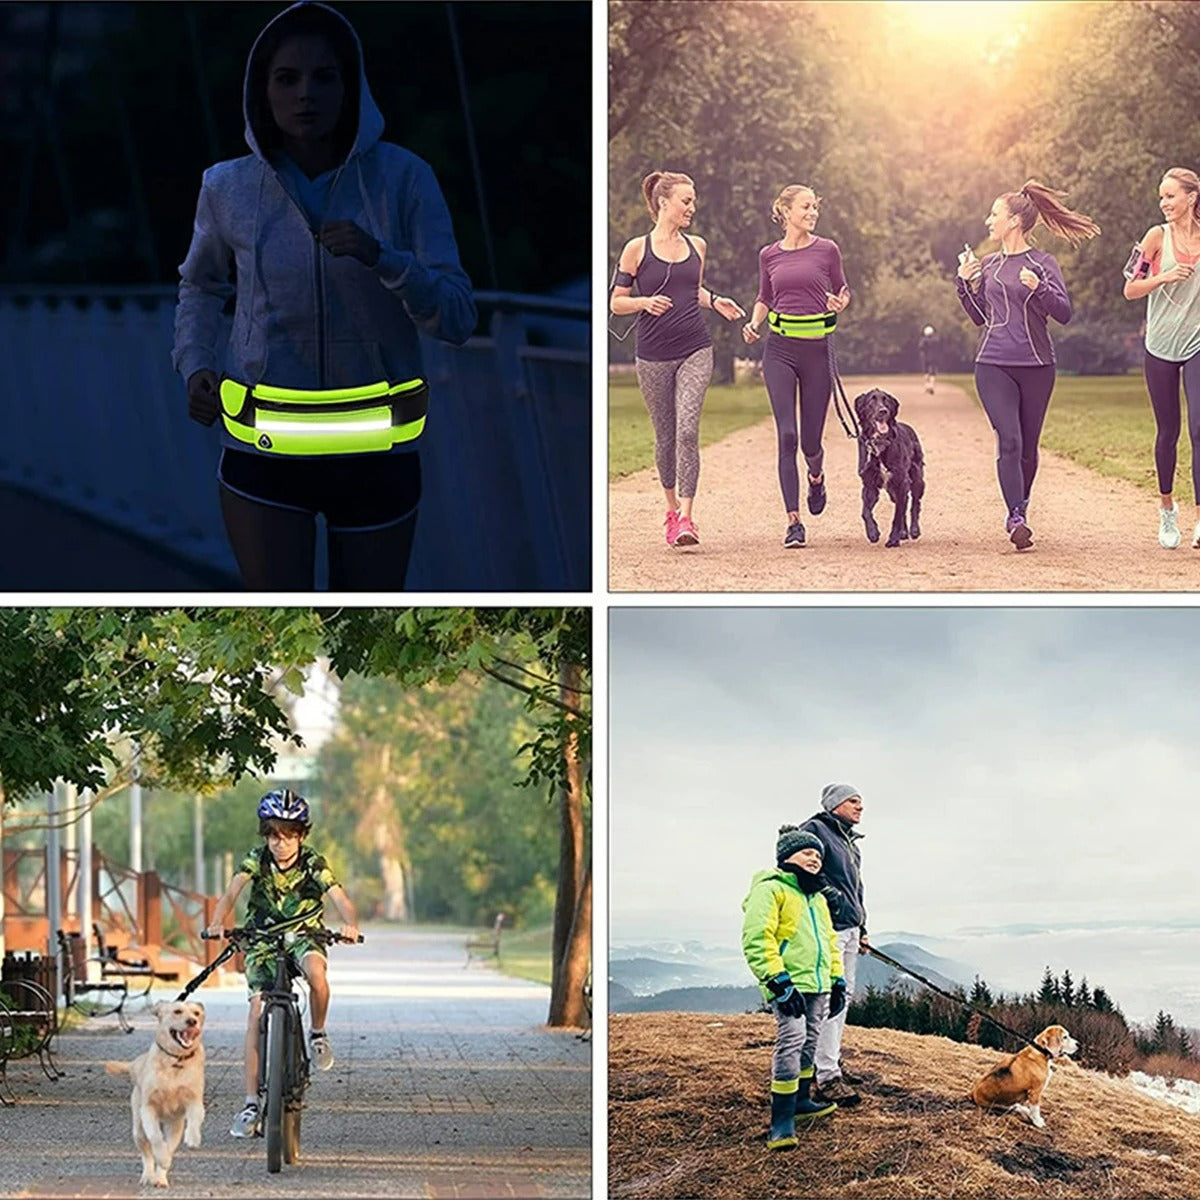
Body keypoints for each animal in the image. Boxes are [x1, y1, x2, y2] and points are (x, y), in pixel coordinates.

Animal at [106, 998, 205, 1185]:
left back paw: (160, 1178)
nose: (192, 1022)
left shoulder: (194, 1100)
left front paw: (193, 1138)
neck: (175, 1061)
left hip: (175, 1125)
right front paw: (161, 1157)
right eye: (177, 1011)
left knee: (170, 1146)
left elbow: (194, 1120)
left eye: (196, 1013)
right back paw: (149, 1175)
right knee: (147, 1153)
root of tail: (136, 1064)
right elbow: (156, 1138)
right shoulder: (148, 1108)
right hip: (138, 1130)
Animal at [854, 388, 926, 549]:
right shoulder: (869, 484)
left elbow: (897, 515)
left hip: (916, 478)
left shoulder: (901, 481)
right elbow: (865, 511)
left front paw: (893, 539)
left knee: (914, 504)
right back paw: (903, 532)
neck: (880, 444)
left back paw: (914, 530)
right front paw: (873, 533)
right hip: (892, 489)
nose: (883, 411)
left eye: (886, 400)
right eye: (871, 400)